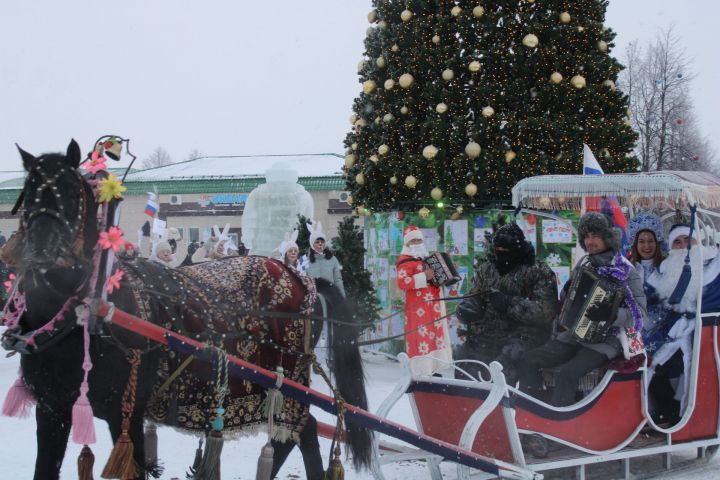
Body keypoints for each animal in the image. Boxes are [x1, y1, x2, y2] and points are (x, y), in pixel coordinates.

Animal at [2, 141, 374, 478]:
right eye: (29, 193)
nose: (42, 251)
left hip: (287, 381)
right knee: (296, 435)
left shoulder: (126, 414)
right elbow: (44, 469)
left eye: (71, 191)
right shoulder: (52, 409)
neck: (88, 314)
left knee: (303, 431)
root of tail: (300, 277)